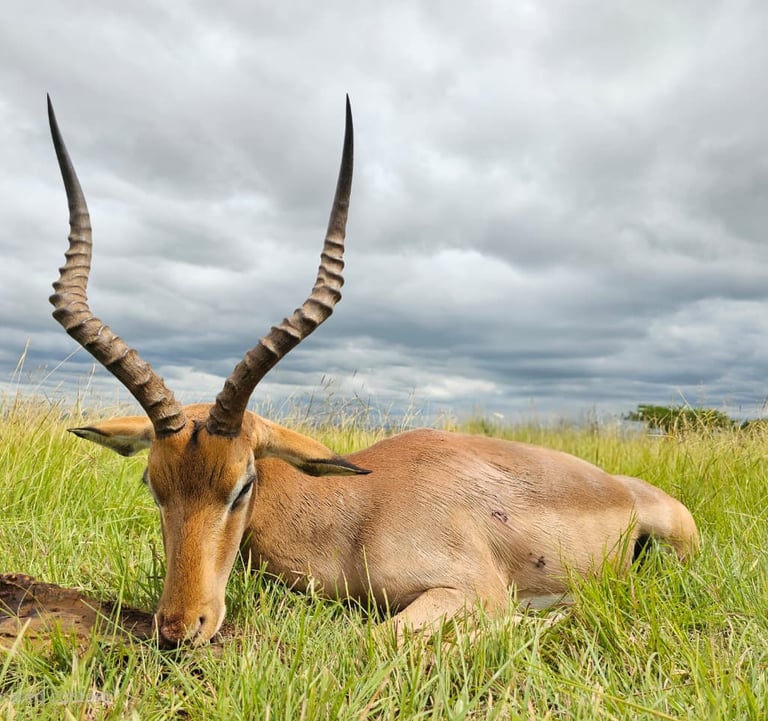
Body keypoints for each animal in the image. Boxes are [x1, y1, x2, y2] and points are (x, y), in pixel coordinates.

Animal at [46, 95, 699, 648]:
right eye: (152, 484)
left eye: (242, 485)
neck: (352, 514)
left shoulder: (471, 590)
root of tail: (621, 486)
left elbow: (378, 640)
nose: (181, 627)